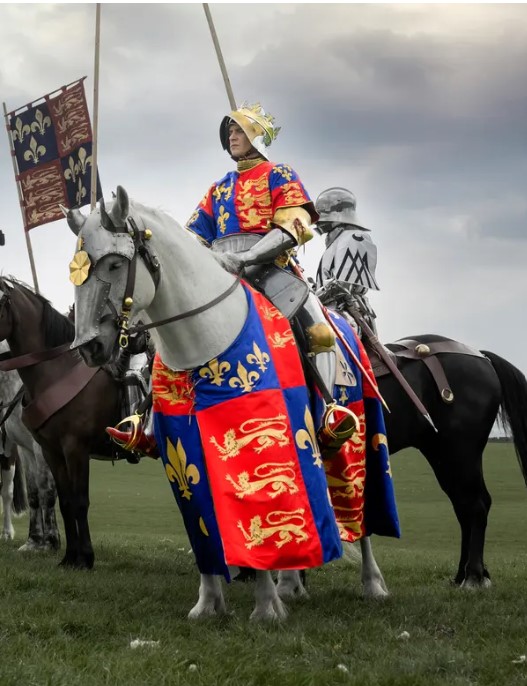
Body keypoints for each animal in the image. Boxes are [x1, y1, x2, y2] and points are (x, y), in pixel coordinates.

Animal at [66, 186, 400, 621]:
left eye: (114, 262)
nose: (89, 346)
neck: (207, 337)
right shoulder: (182, 450)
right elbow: (202, 521)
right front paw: (209, 603)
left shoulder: (257, 443)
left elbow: (256, 511)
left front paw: (266, 608)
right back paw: (291, 583)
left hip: (356, 434)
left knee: (360, 513)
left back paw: (372, 583)